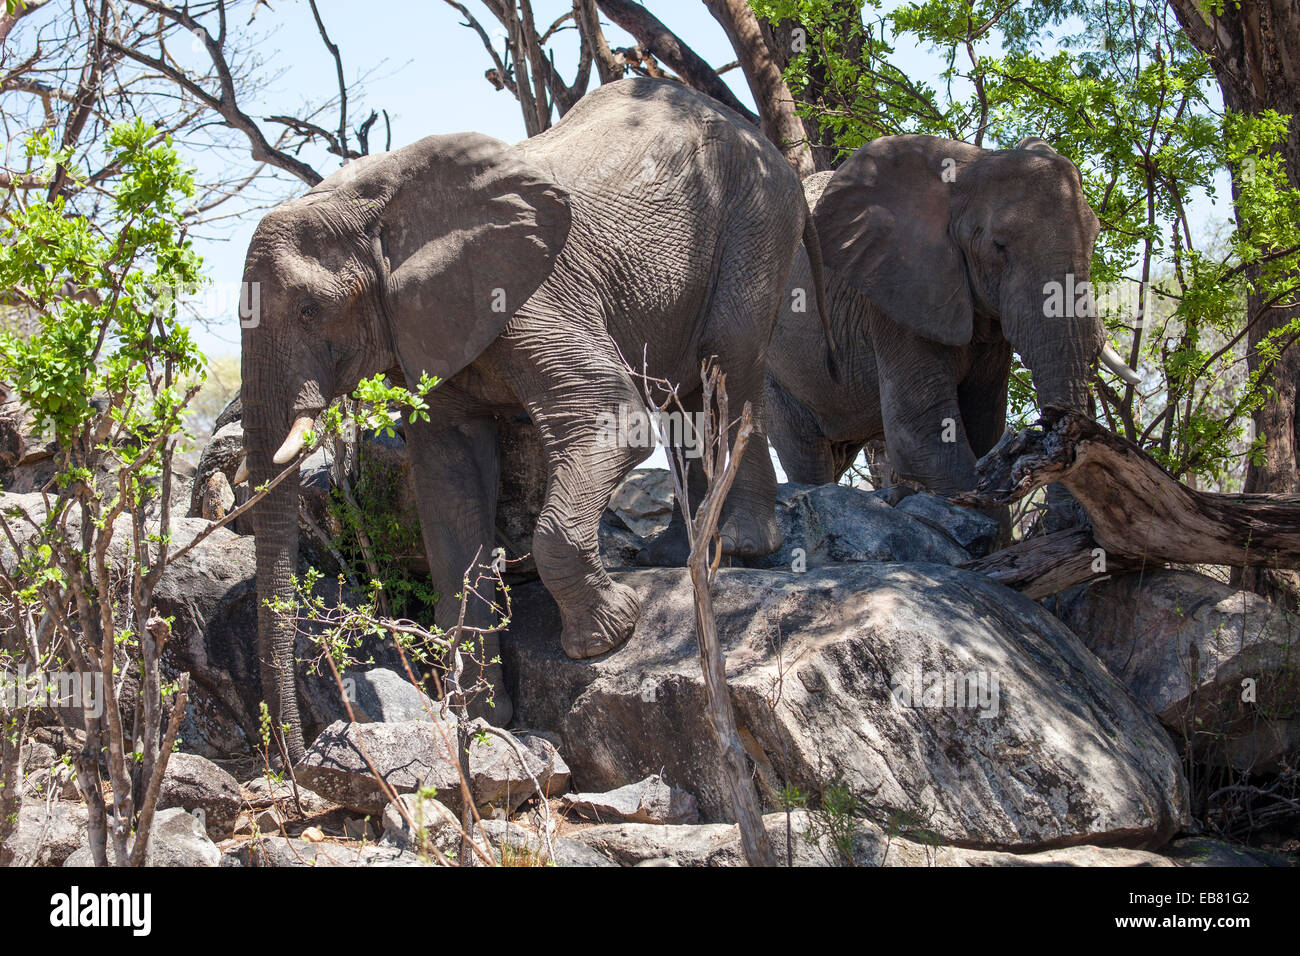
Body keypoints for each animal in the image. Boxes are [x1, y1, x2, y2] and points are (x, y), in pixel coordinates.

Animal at [243, 78, 826, 759]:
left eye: (310, 309)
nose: (290, 753)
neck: (375, 202)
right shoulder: (427, 329)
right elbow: (449, 489)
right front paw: (482, 718)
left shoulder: (536, 298)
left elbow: (615, 420)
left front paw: (609, 635)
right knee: (691, 390)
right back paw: (685, 550)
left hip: (756, 217)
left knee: (726, 364)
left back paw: (739, 547)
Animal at [759, 134, 1138, 522]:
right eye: (998, 247)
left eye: (1094, 237)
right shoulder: (896, 293)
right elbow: (924, 434)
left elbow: (984, 425)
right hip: (774, 370)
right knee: (808, 456)